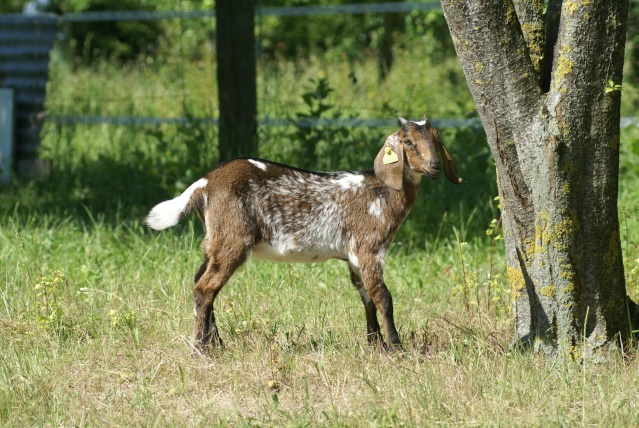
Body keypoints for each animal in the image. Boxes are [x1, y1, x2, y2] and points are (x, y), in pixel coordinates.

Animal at [145, 115, 460, 350]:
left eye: (436, 141)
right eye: (408, 142)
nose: (434, 166)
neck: (381, 191)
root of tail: (206, 182)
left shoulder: (354, 256)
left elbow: (366, 296)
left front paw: (375, 343)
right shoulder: (370, 248)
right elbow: (383, 296)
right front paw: (396, 347)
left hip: (214, 240)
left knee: (200, 279)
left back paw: (216, 342)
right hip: (232, 238)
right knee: (206, 287)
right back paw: (200, 348)